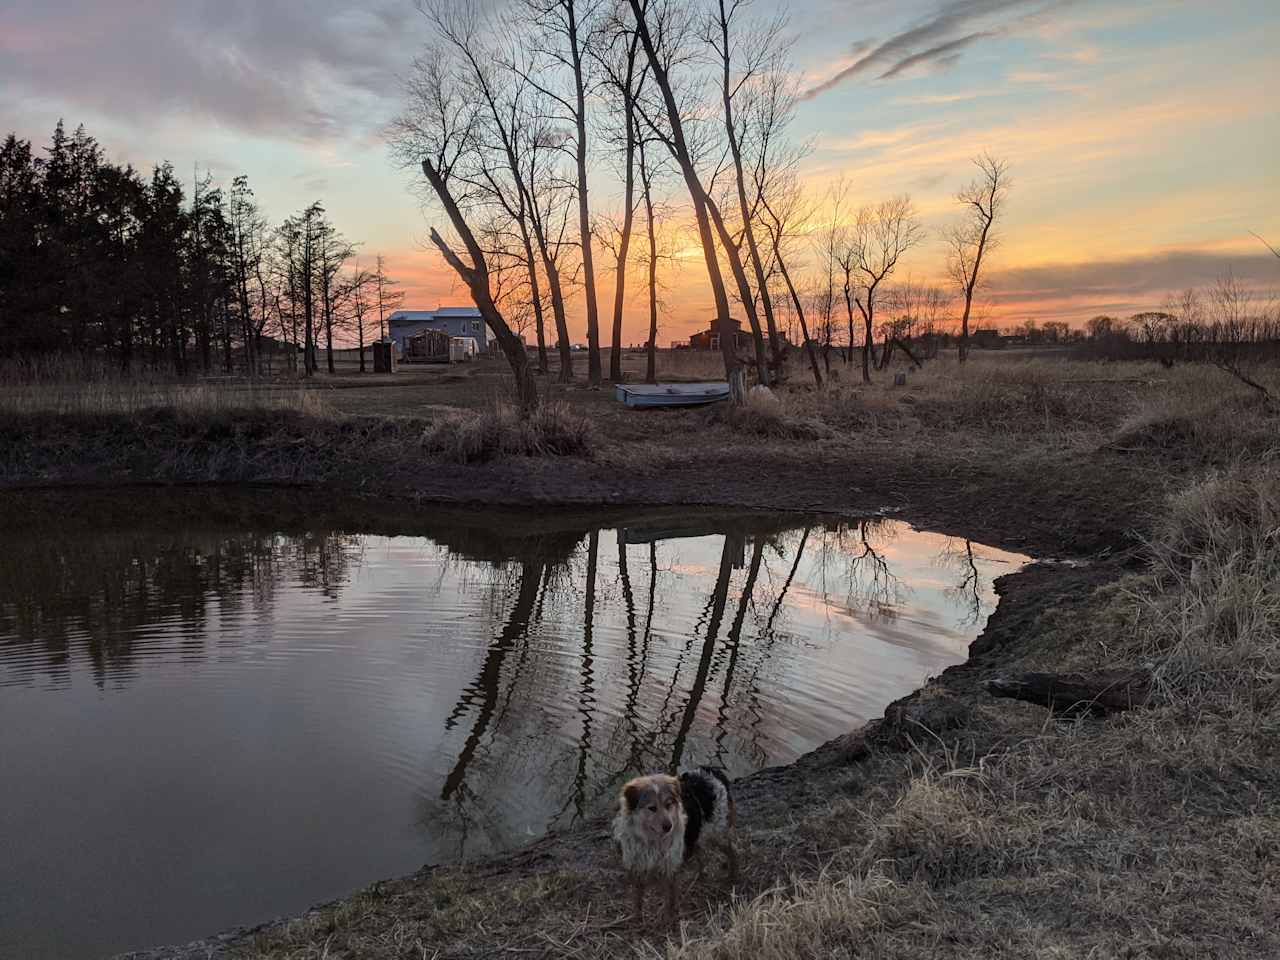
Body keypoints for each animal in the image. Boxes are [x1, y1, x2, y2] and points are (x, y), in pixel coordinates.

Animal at [611, 768, 742, 926]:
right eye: (652, 808)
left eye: (668, 805)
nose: (668, 826)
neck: (651, 839)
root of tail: (710, 770)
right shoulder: (637, 867)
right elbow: (637, 898)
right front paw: (637, 919)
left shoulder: (670, 868)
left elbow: (670, 900)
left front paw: (669, 921)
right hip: (696, 835)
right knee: (701, 855)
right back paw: (700, 876)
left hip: (717, 834)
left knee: (733, 851)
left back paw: (733, 877)